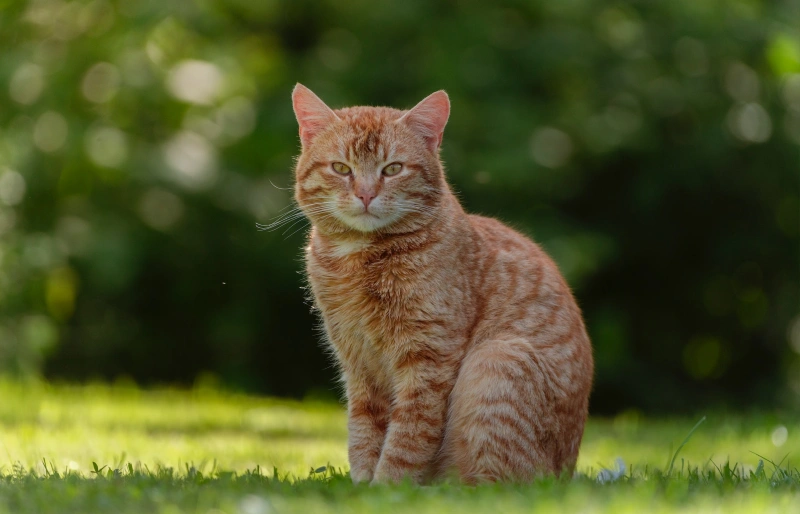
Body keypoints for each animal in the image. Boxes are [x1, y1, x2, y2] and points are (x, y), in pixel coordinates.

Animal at [290, 84, 592, 484]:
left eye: (393, 169)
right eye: (341, 168)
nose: (366, 194)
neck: (360, 258)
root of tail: (566, 474)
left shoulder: (427, 359)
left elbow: (408, 436)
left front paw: (387, 487)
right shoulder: (358, 364)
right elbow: (364, 430)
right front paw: (362, 485)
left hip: (497, 358)